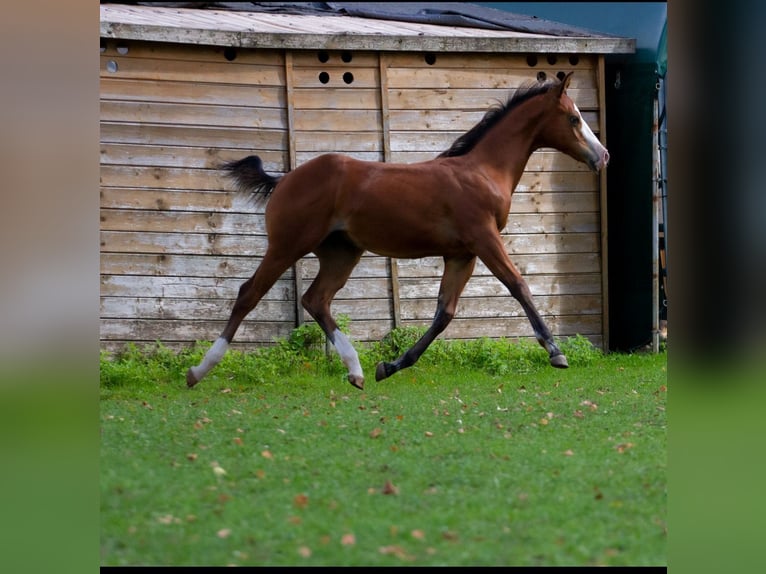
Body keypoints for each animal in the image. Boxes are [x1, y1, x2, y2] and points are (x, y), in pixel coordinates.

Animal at [186, 72, 609, 390]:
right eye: (573, 118)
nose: (602, 155)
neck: (482, 170)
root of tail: (285, 179)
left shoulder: (461, 253)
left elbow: (445, 313)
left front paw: (389, 366)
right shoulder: (484, 238)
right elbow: (518, 285)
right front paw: (556, 351)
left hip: (342, 252)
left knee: (316, 300)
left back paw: (357, 371)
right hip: (288, 244)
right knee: (249, 294)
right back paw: (199, 371)